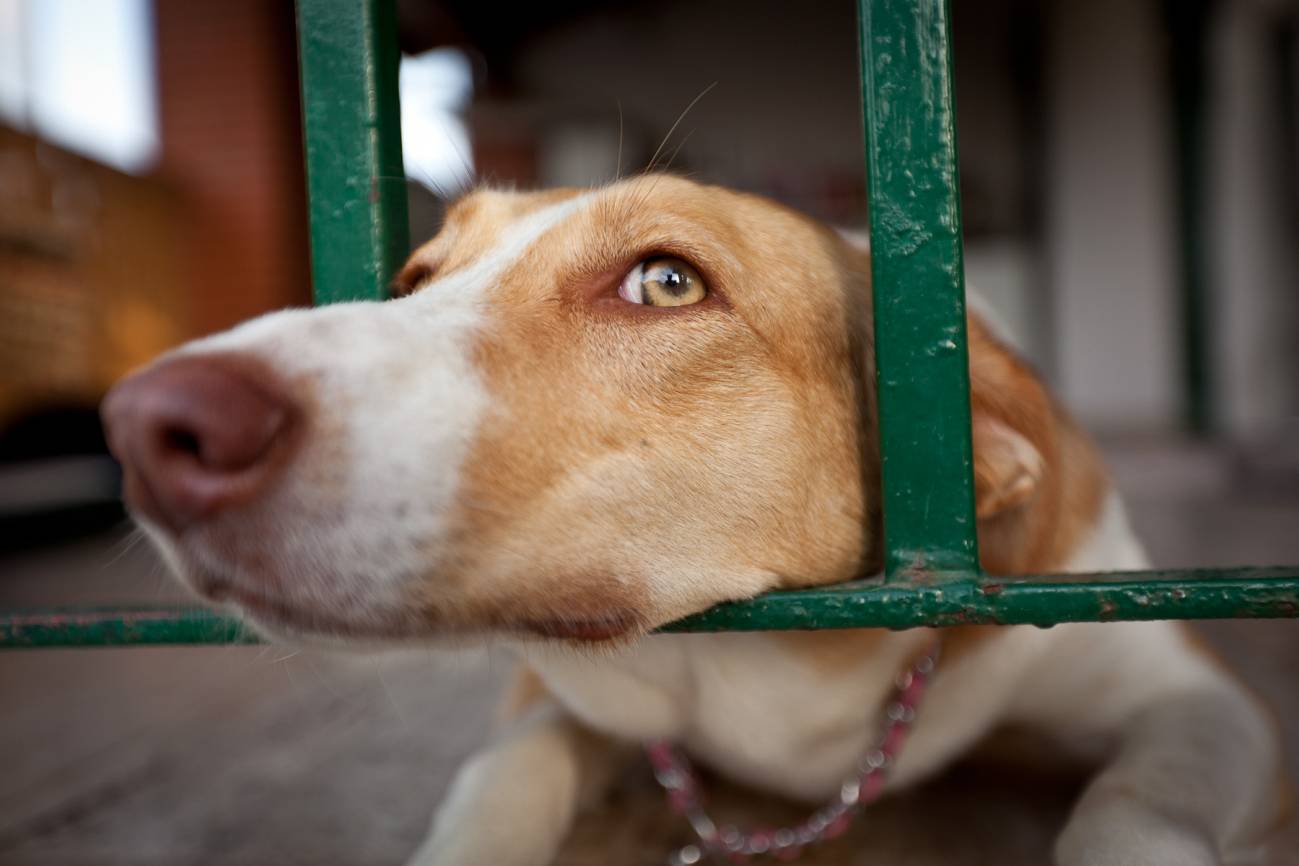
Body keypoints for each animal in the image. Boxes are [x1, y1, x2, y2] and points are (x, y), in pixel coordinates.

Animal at [103, 176, 1288, 866]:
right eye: (415, 279)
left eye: (667, 282)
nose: (148, 426)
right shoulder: (553, 690)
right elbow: (499, 775)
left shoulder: (1194, 695)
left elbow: (1136, 808)